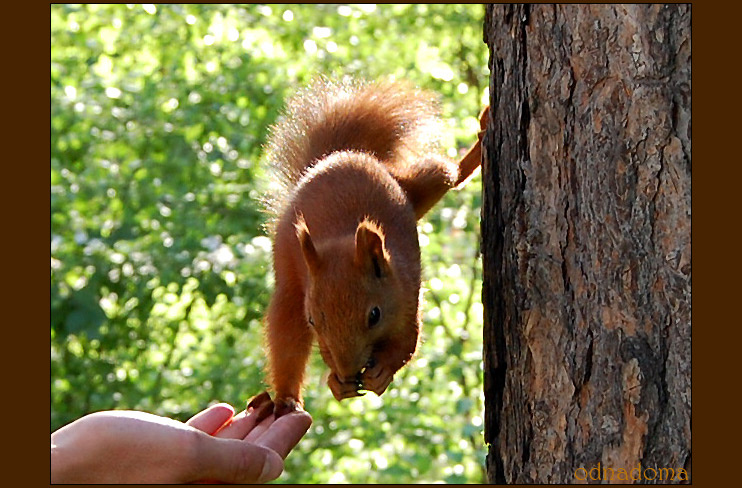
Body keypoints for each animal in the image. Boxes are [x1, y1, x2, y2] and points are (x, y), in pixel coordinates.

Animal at [248, 77, 489, 417]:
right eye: (314, 320)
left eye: (374, 315)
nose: (348, 371)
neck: (342, 241)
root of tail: (340, 154)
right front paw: (336, 383)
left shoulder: (406, 293)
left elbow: (406, 344)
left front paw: (382, 371)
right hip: (290, 288)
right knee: (286, 340)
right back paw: (283, 399)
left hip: (424, 182)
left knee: (450, 173)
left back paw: (482, 133)